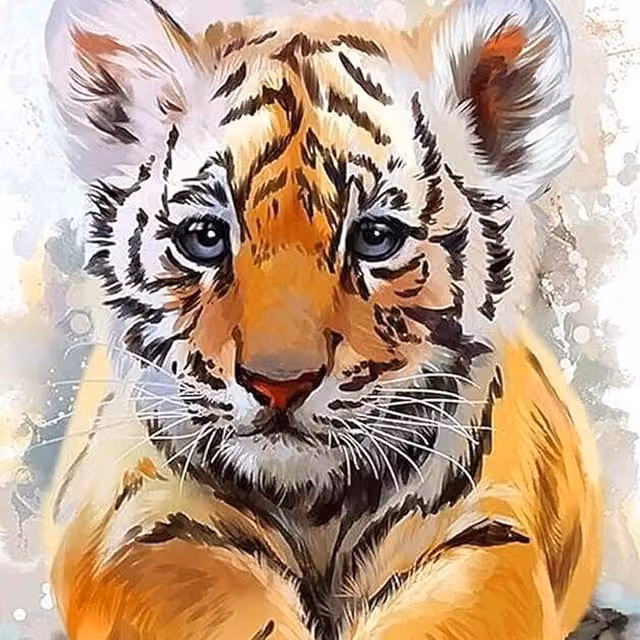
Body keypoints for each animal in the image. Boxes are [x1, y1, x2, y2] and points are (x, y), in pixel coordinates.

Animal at [41, 0, 602, 638]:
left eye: (375, 238)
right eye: (204, 237)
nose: (279, 385)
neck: (314, 510)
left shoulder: (490, 529)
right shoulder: (135, 521)